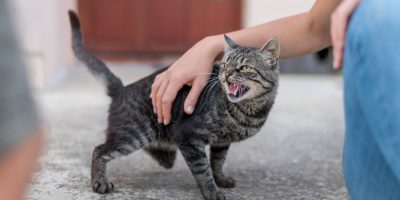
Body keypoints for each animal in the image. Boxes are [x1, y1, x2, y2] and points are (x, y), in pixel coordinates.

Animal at [69, 10, 280, 200]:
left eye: (244, 68)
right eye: (225, 64)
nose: (226, 74)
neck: (247, 112)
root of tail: (122, 89)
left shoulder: (221, 142)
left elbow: (218, 162)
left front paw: (220, 179)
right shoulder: (188, 135)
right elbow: (203, 168)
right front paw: (211, 191)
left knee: (161, 156)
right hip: (134, 134)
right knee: (100, 149)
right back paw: (100, 182)